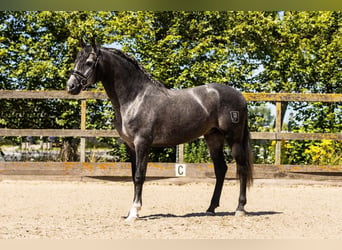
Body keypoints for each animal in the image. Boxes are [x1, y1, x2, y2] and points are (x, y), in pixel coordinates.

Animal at [67, 41, 254, 223]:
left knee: (242, 167)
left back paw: (240, 209)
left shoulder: (142, 143)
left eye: (89, 62)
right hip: (213, 138)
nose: (71, 86)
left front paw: (134, 213)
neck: (135, 98)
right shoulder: (131, 146)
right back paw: (210, 209)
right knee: (220, 169)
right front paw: (132, 212)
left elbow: (139, 176)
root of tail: (240, 96)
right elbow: (134, 176)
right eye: (76, 60)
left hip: (234, 139)